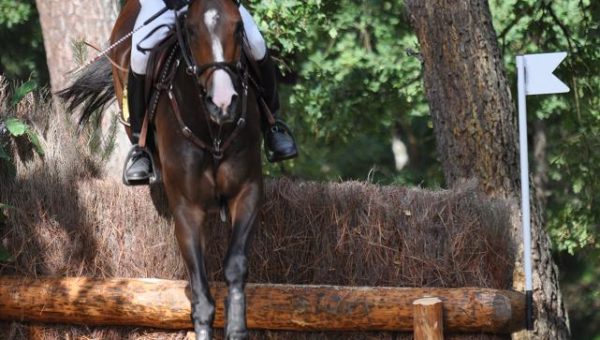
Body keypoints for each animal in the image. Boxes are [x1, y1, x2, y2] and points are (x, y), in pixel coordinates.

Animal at [60, 1, 262, 338]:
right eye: (191, 30)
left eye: (237, 28)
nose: (223, 103)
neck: (212, 130)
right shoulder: (186, 208)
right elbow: (201, 295)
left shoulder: (247, 191)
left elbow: (235, 264)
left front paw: (236, 326)